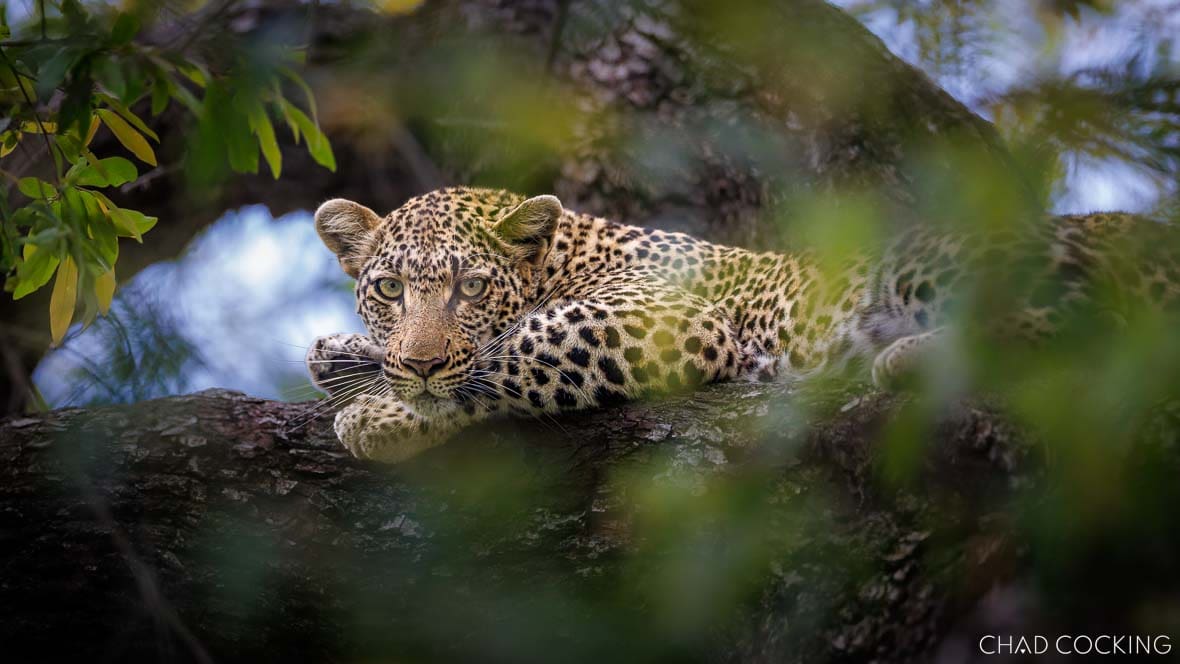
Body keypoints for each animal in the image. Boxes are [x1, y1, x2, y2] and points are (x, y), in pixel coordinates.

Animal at [306, 186, 1180, 463]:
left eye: (470, 287)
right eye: (389, 288)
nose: (419, 362)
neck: (562, 258)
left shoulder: (669, 321)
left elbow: (509, 352)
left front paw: (382, 413)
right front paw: (349, 358)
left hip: (932, 253)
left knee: (1089, 331)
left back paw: (907, 357)